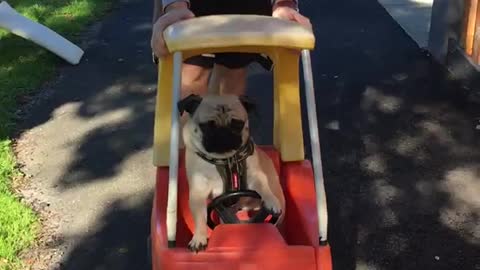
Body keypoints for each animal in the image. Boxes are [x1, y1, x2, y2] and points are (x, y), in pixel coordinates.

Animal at [179, 94, 284, 252]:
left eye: (237, 124)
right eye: (207, 126)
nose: (223, 133)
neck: (225, 159)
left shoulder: (256, 177)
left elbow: (264, 187)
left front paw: (271, 201)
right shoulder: (198, 193)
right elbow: (199, 217)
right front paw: (199, 238)